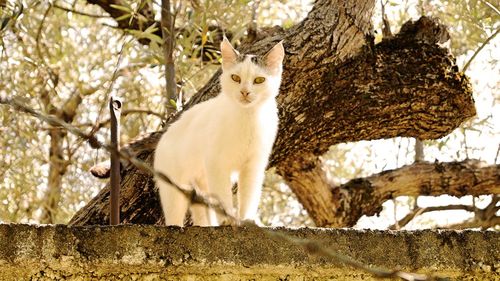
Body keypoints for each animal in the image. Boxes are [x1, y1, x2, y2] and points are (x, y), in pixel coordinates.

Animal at [152, 37, 286, 225]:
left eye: (259, 80)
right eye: (235, 78)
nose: (245, 92)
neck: (248, 118)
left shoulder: (253, 165)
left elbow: (249, 196)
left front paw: (247, 219)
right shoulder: (217, 164)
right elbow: (223, 195)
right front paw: (228, 219)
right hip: (174, 191)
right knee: (174, 216)